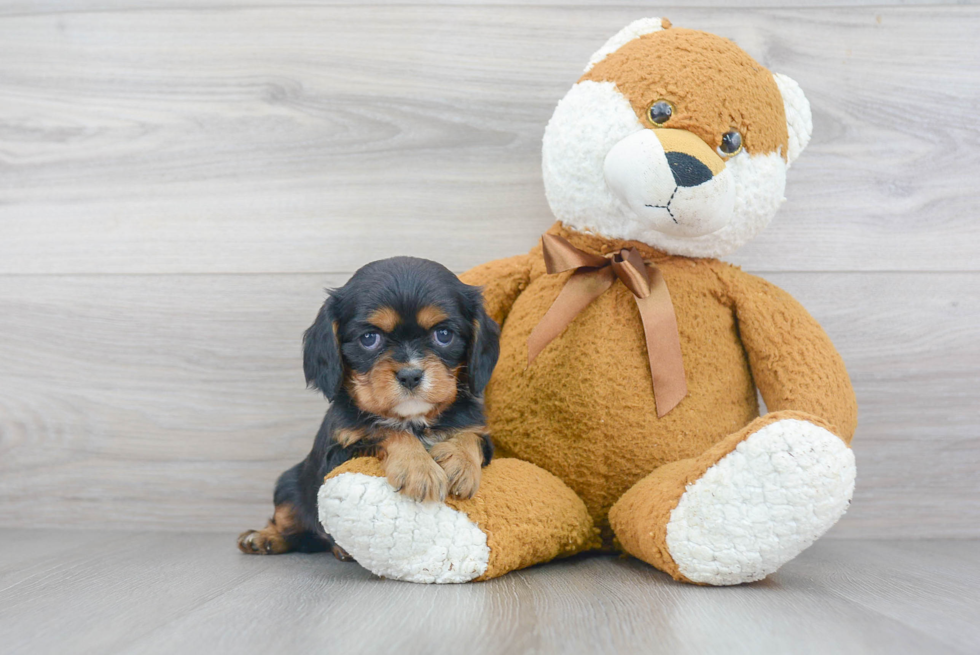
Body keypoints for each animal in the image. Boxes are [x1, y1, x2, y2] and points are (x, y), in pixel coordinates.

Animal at [235, 256, 498, 560]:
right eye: (369, 338)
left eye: (443, 334)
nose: (410, 375)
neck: (414, 419)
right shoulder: (340, 452)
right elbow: (386, 429)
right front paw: (419, 469)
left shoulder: (481, 435)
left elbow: (470, 436)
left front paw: (460, 463)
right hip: (289, 484)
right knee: (289, 523)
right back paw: (263, 538)